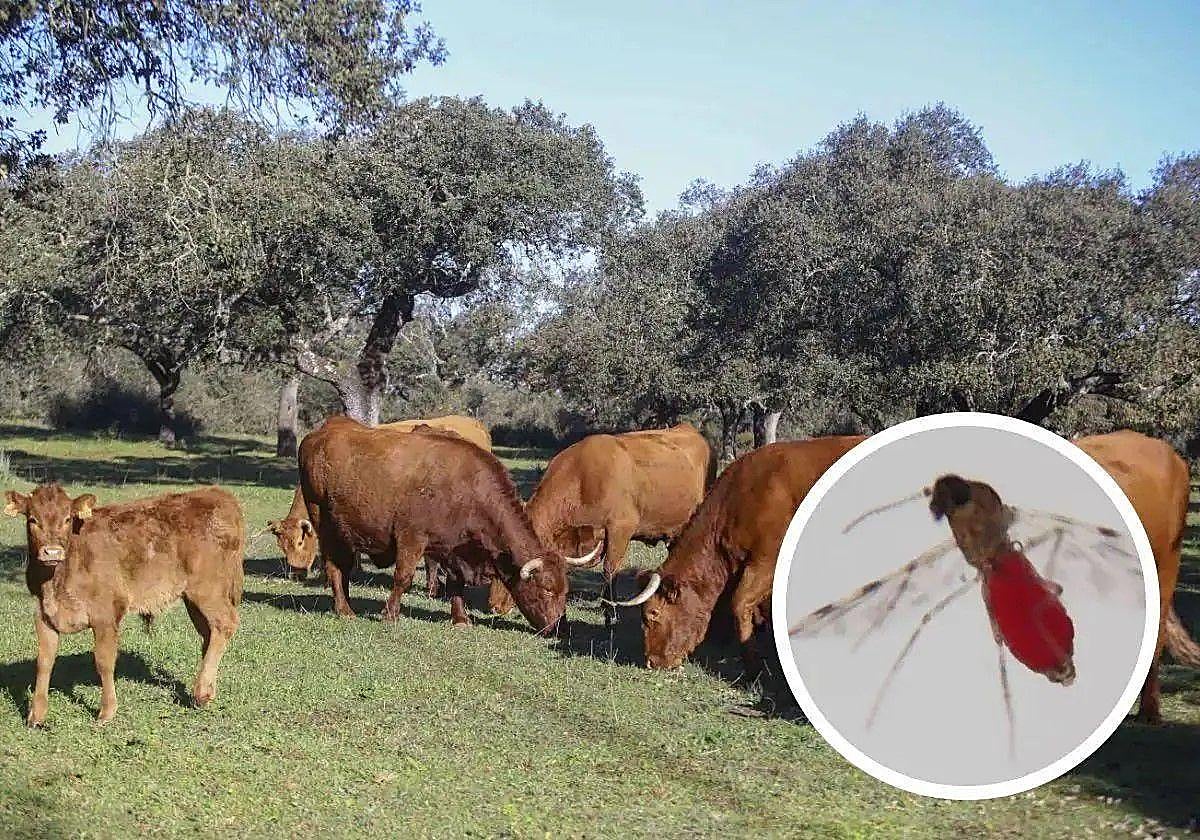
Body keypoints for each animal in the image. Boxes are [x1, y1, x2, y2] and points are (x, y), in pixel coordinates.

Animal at [3, 483, 244, 726]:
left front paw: (107, 712)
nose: (52, 552)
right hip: (193, 599)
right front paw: (36, 715)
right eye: (32, 519)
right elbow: (44, 662)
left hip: (208, 590)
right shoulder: (44, 614)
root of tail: (216, 494)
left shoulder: (106, 614)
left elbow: (104, 661)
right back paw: (207, 689)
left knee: (226, 623)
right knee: (210, 633)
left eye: (67, 519)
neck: (57, 580)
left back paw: (201, 691)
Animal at [296, 415, 599, 630]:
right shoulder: (411, 539)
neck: (465, 488)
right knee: (335, 566)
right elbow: (403, 577)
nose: (558, 626)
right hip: (325, 524)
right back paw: (344, 609)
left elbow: (456, 584)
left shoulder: (454, 549)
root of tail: (323, 431)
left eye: (565, 589)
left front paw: (460, 618)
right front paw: (390, 614)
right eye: (546, 588)